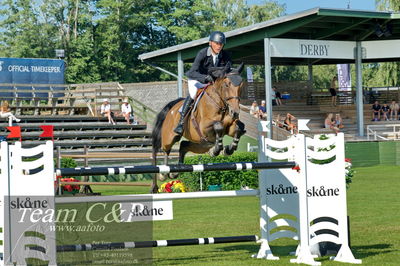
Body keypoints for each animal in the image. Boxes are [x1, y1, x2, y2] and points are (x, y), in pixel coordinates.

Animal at [152, 62, 247, 191]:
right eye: (227, 84)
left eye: (241, 85)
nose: (235, 112)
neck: (220, 104)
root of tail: (172, 108)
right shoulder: (204, 127)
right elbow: (218, 126)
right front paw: (217, 150)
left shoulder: (230, 127)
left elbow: (239, 128)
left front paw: (228, 149)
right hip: (170, 137)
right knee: (166, 149)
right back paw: (164, 173)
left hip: (201, 145)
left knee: (184, 145)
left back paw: (175, 172)